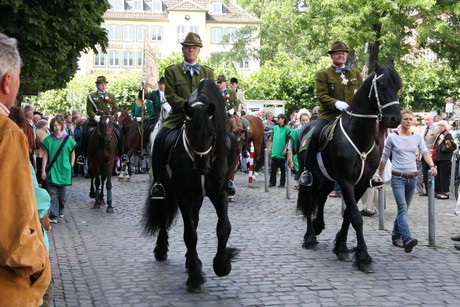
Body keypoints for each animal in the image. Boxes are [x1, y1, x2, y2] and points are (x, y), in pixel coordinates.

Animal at [142, 79, 239, 294]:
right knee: (164, 214)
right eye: (188, 131)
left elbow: (224, 227)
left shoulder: (218, 193)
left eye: (212, 134)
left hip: (198, 197)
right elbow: (190, 235)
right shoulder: (184, 195)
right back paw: (161, 249)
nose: (202, 167)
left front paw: (222, 265)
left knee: (194, 219)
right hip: (164, 185)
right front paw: (195, 278)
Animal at [296, 61, 400, 274]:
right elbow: (356, 217)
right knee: (310, 202)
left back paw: (319, 226)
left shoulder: (361, 183)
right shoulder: (346, 181)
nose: (396, 119)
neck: (359, 136)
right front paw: (364, 258)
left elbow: (348, 215)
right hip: (311, 178)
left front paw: (342, 247)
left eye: (398, 86)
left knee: (321, 198)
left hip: (327, 179)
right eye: (382, 85)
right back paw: (310, 237)